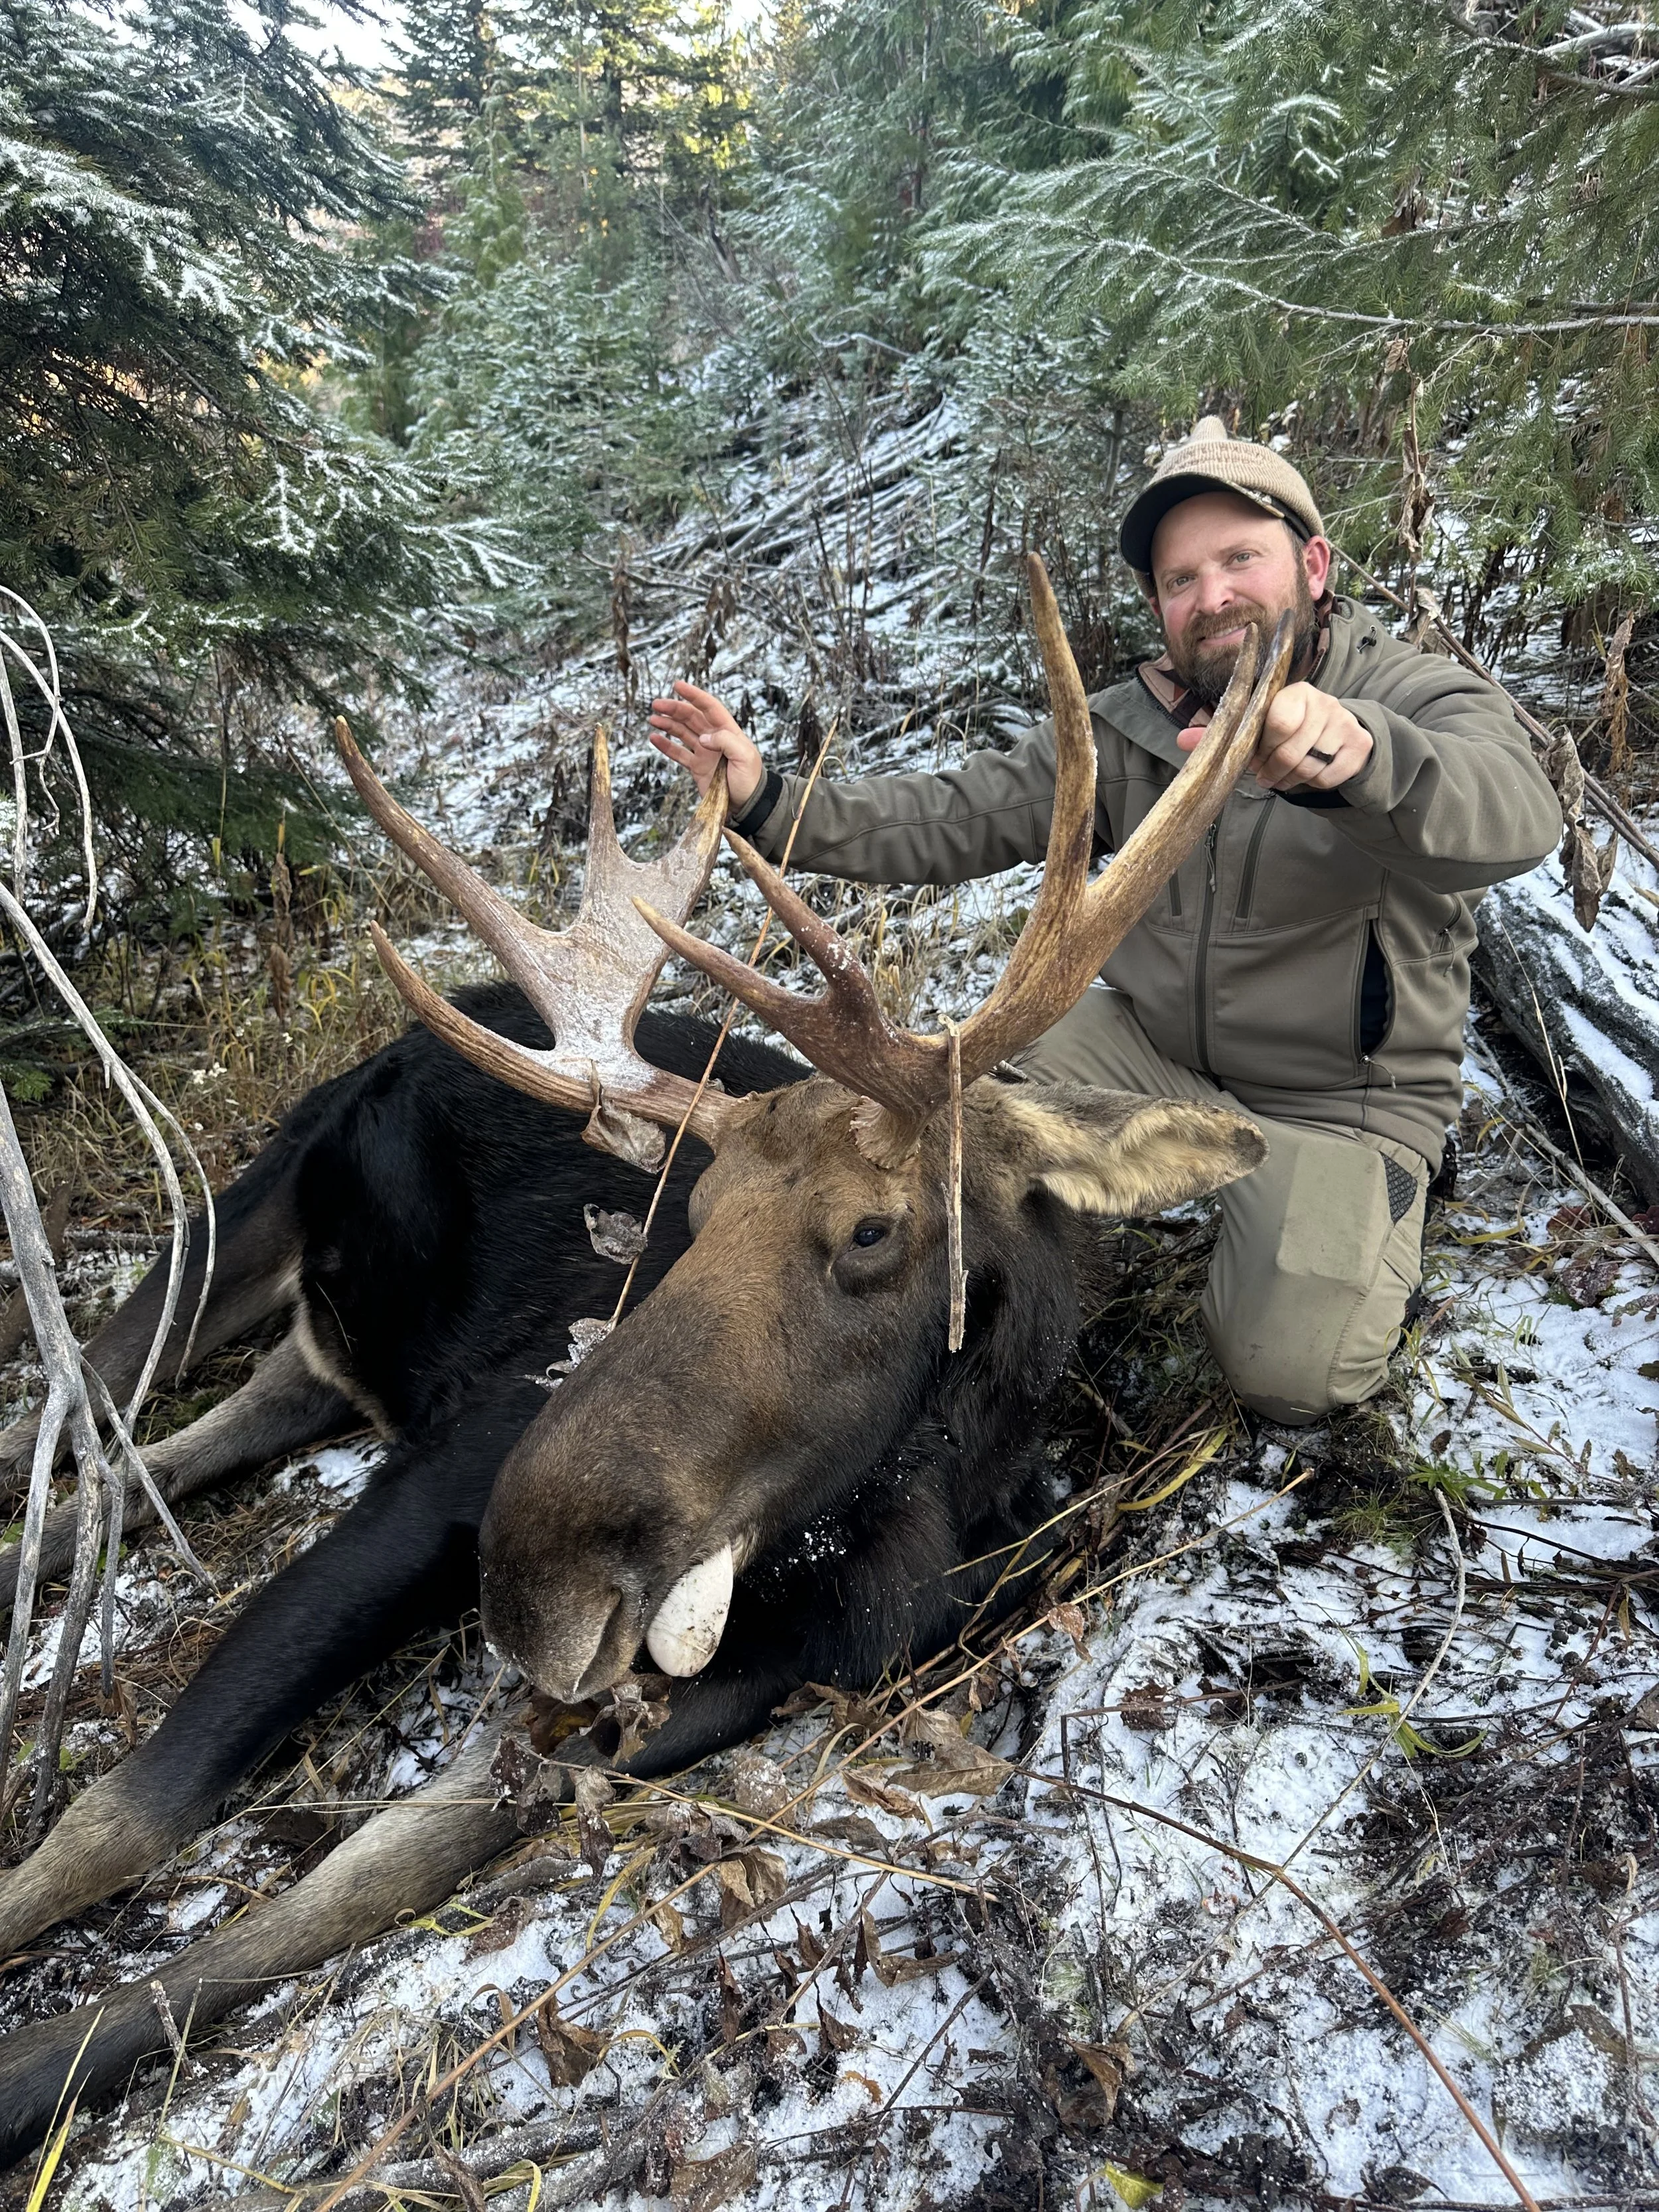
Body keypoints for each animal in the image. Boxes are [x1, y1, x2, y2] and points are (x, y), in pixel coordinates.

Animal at [0, 562, 1291, 2163]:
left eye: (873, 1228)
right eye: (694, 1208)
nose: (532, 1582)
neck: (882, 1525)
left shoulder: (724, 1690)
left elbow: (326, 1899)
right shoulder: (437, 1486)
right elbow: (124, 1816)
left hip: (310, 1358)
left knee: (127, 1471)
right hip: (241, 1210)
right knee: (63, 1423)